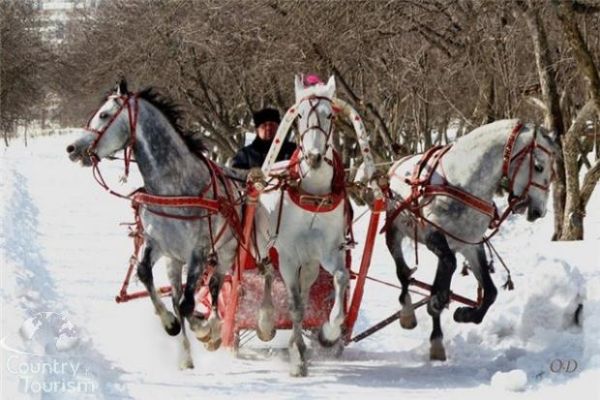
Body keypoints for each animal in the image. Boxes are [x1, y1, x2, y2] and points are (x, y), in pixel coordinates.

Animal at [67, 79, 240, 370]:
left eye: (104, 115)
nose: (72, 149)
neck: (174, 187)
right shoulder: (158, 244)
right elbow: (146, 275)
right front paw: (170, 325)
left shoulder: (198, 252)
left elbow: (189, 303)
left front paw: (203, 330)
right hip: (174, 261)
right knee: (178, 294)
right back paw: (188, 351)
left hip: (225, 253)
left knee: (215, 287)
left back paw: (214, 329)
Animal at [254, 76, 350, 378]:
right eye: (298, 116)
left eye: (330, 115)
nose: (314, 157)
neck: (313, 194)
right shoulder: (288, 256)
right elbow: (295, 306)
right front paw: (297, 358)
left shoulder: (328, 250)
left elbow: (341, 278)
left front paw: (329, 332)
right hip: (264, 245)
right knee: (267, 273)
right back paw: (266, 322)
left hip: (310, 262)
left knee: (306, 288)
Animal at [384, 119, 556, 360]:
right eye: (539, 166)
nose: (539, 211)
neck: (461, 182)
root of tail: (395, 166)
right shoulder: (433, 235)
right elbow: (446, 270)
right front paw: (437, 303)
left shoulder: (470, 245)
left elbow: (490, 292)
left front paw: (465, 314)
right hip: (394, 231)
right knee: (403, 273)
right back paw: (408, 313)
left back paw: (437, 341)